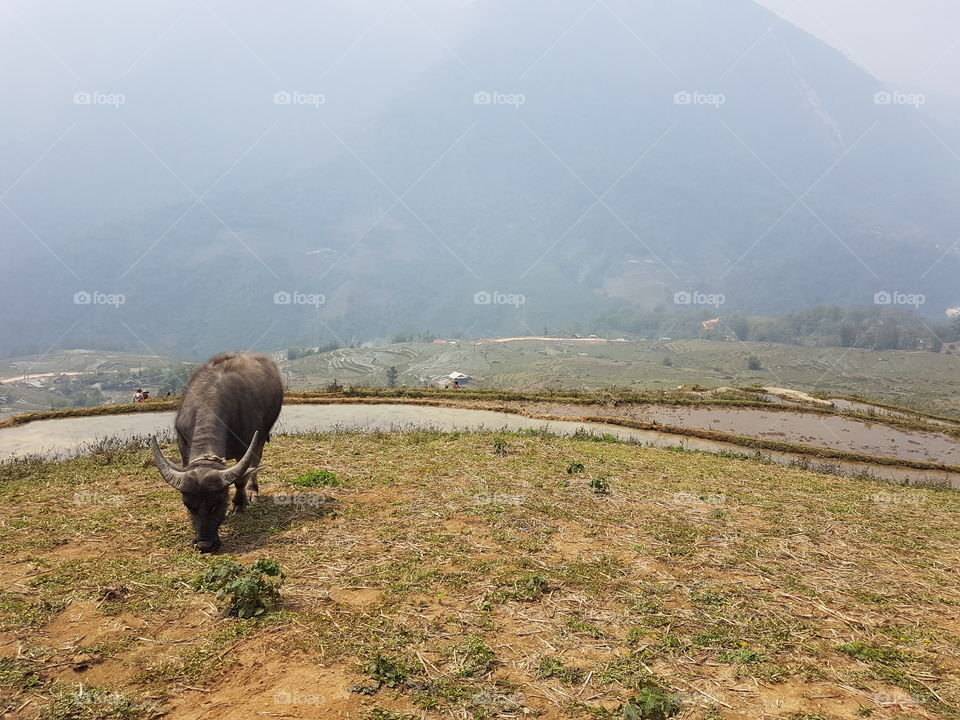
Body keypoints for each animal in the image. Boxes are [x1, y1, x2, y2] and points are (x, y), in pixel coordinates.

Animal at [151, 352, 282, 552]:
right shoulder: (183, 445)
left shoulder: (245, 445)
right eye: (188, 505)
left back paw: (253, 492)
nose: (204, 544)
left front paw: (239, 505)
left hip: (263, 433)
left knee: (255, 462)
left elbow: (241, 479)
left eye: (218, 502)